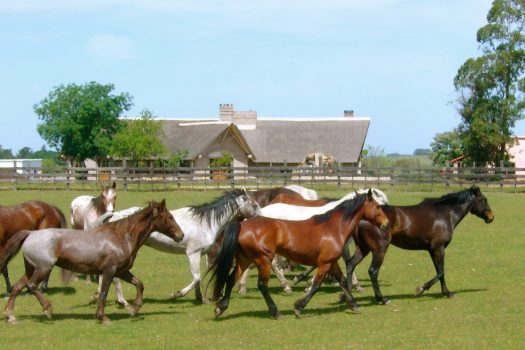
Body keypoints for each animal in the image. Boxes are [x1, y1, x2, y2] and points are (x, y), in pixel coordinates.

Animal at [0, 198, 184, 324]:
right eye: (169, 217)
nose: (180, 235)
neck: (121, 237)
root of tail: (30, 234)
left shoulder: (122, 271)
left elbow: (139, 284)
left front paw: (134, 308)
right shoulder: (110, 271)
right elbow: (103, 293)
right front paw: (102, 317)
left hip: (31, 268)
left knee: (17, 287)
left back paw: (10, 316)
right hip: (43, 268)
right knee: (31, 286)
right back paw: (47, 309)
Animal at [93, 187, 260, 304]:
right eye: (254, 204)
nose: (261, 218)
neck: (205, 223)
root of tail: (112, 216)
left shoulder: (199, 254)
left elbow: (198, 278)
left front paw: (201, 298)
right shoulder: (193, 254)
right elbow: (197, 278)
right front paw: (176, 294)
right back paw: (121, 301)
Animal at [237, 187, 388, 294]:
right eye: (380, 204)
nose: (386, 224)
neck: (339, 217)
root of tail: (259, 213)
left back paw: (243, 286)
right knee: (271, 264)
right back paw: (285, 286)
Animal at [346, 185, 494, 308]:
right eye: (483, 199)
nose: (491, 216)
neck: (444, 214)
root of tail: (362, 218)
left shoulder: (432, 250)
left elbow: (439, 271)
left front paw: (447, 293)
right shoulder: (439, 248)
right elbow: (441, 271)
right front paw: (421, 289)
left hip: (363, 248)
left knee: (350, 264)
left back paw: (349, 298)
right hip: (379, 250)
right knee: (373, 271)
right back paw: (382, 299)